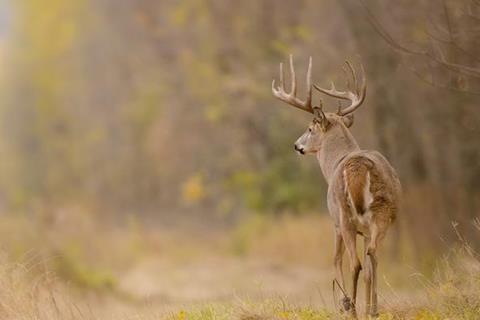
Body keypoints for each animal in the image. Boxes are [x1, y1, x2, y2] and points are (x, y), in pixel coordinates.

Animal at [270, 55, 402, 318]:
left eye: (310, 129)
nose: (296, 145)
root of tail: (358, 167)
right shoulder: (366, 230)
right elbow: (368, 267)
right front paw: (367, 307)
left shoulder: (335, 223)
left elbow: (334, 260)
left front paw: (344, 303)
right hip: (383, 214)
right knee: (372, 256)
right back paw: (372, 310)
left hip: (344, 215)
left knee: (355, 263)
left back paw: (351, 307)